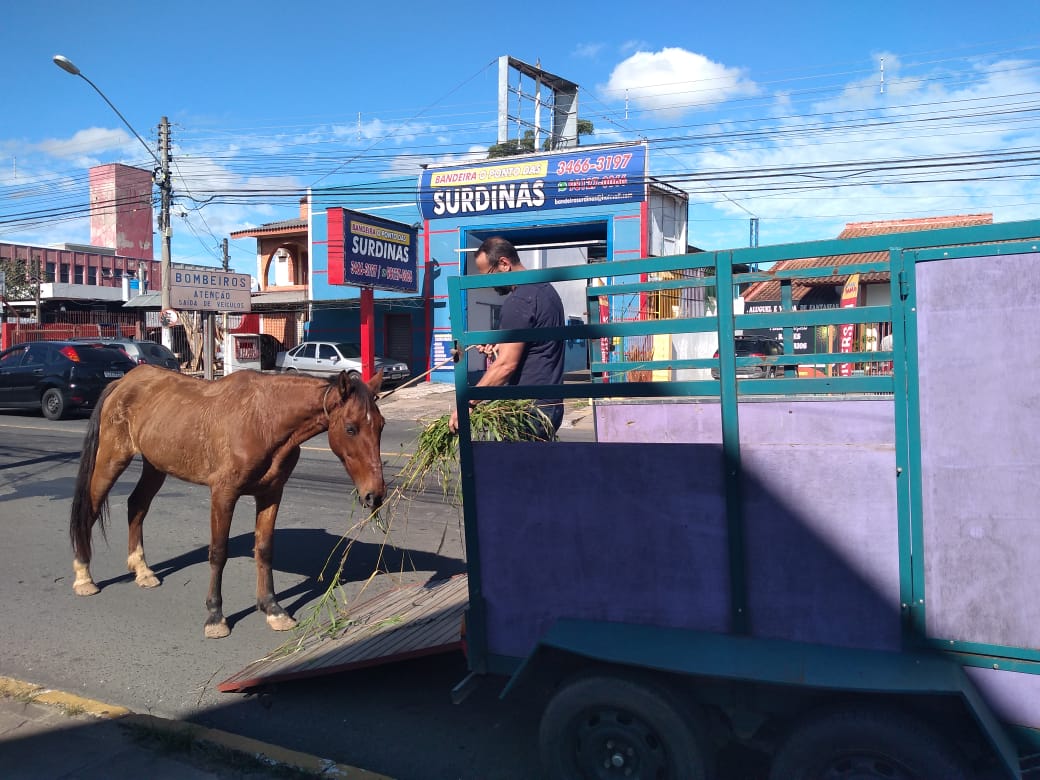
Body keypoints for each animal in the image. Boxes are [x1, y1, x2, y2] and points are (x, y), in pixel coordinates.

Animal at [70, 364, 386, 636]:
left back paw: (142, 570)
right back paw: (84, 576)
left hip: (155, 466)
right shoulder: (223, 494)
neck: (262, 419)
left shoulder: (271, 494)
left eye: (381, 425)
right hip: (111, 459)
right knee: (90, 510)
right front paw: (215, 616)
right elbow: (218, 553)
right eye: (350, 428)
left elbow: (264, 550)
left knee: (136, 506)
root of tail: (122, 382)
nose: (375, 494)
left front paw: (272, 609)